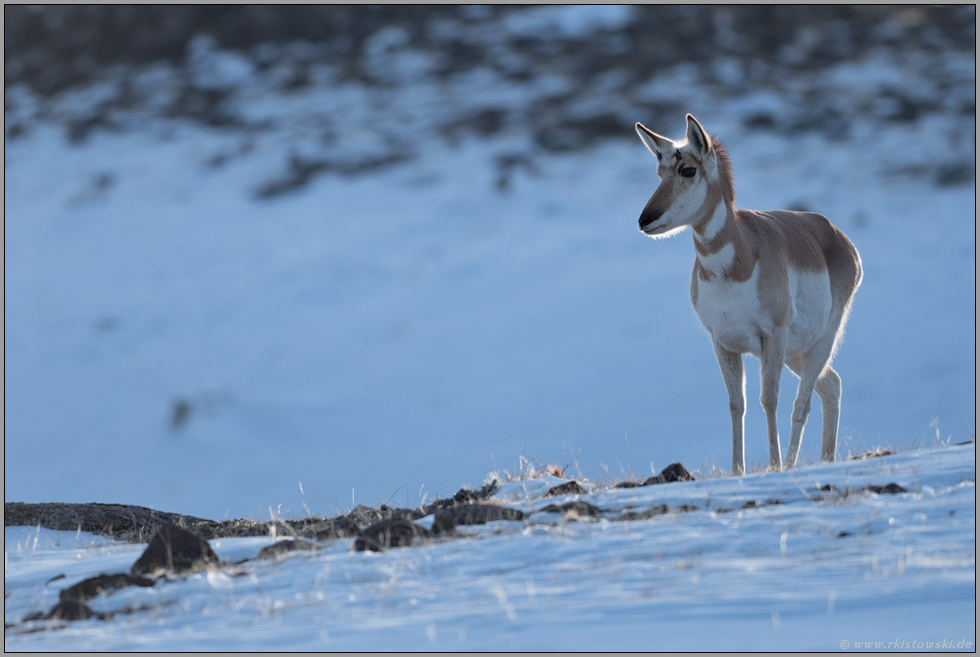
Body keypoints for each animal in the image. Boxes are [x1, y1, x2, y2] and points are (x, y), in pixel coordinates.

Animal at [636, 115, 856, 474]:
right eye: (659, 173)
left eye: (687, 170)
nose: (645, 219)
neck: (737, 260)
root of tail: (836, 235)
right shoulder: (723, 343)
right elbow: (736, 403)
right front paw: (737, 470)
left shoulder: (772, 337)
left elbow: (769, 399)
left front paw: (774, 465)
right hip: (796, 351)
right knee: (831, 386)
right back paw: (826, 459)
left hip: (819, 341)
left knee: (804, 401)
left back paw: (792, 463)